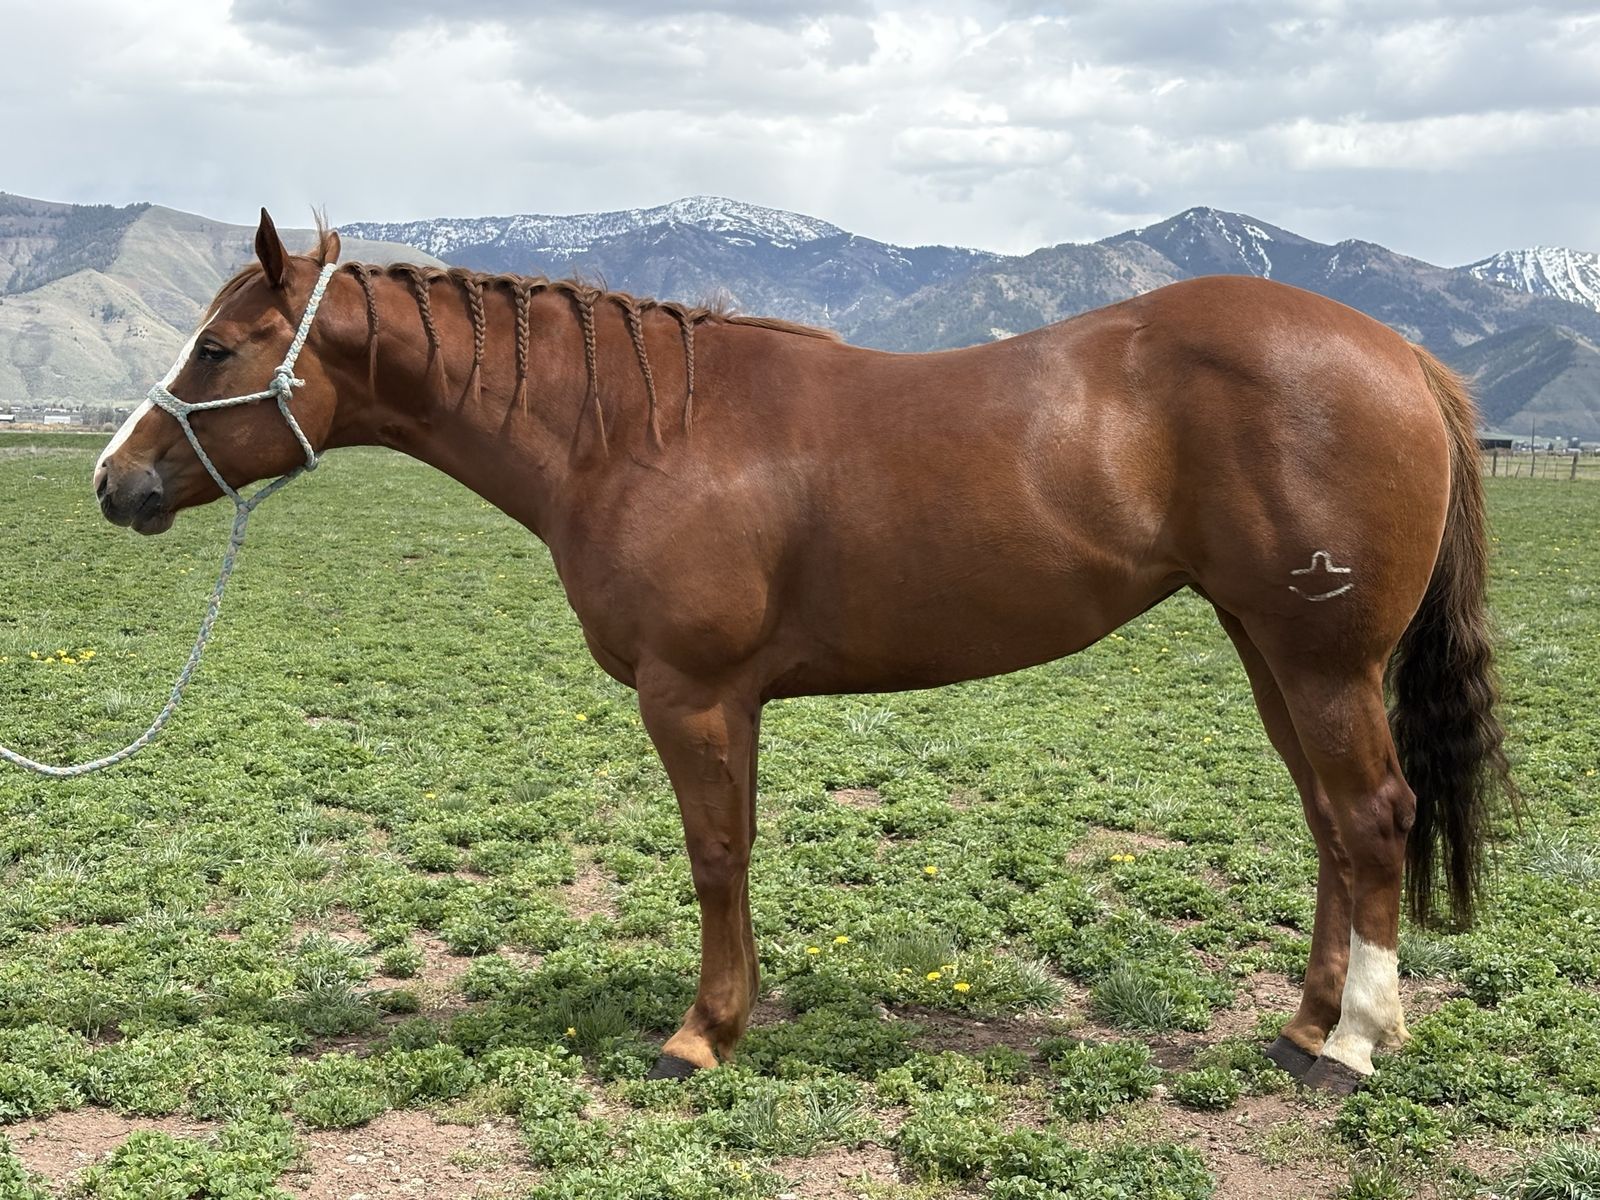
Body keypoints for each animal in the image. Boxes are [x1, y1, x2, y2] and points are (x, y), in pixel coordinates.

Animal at [94, 210, 1512, 1092]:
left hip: (1320, 657)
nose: (118, 484)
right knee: (1329, 823)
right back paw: (1303, 1025)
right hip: (1268, 648)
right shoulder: (737, 703)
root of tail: (1400, 355)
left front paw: (701, 1035)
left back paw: (1352, 1046)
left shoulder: (692, 695)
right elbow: (738, 852)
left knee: (1371, 818)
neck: (640, 433)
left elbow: (714, 857)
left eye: (216, 346)